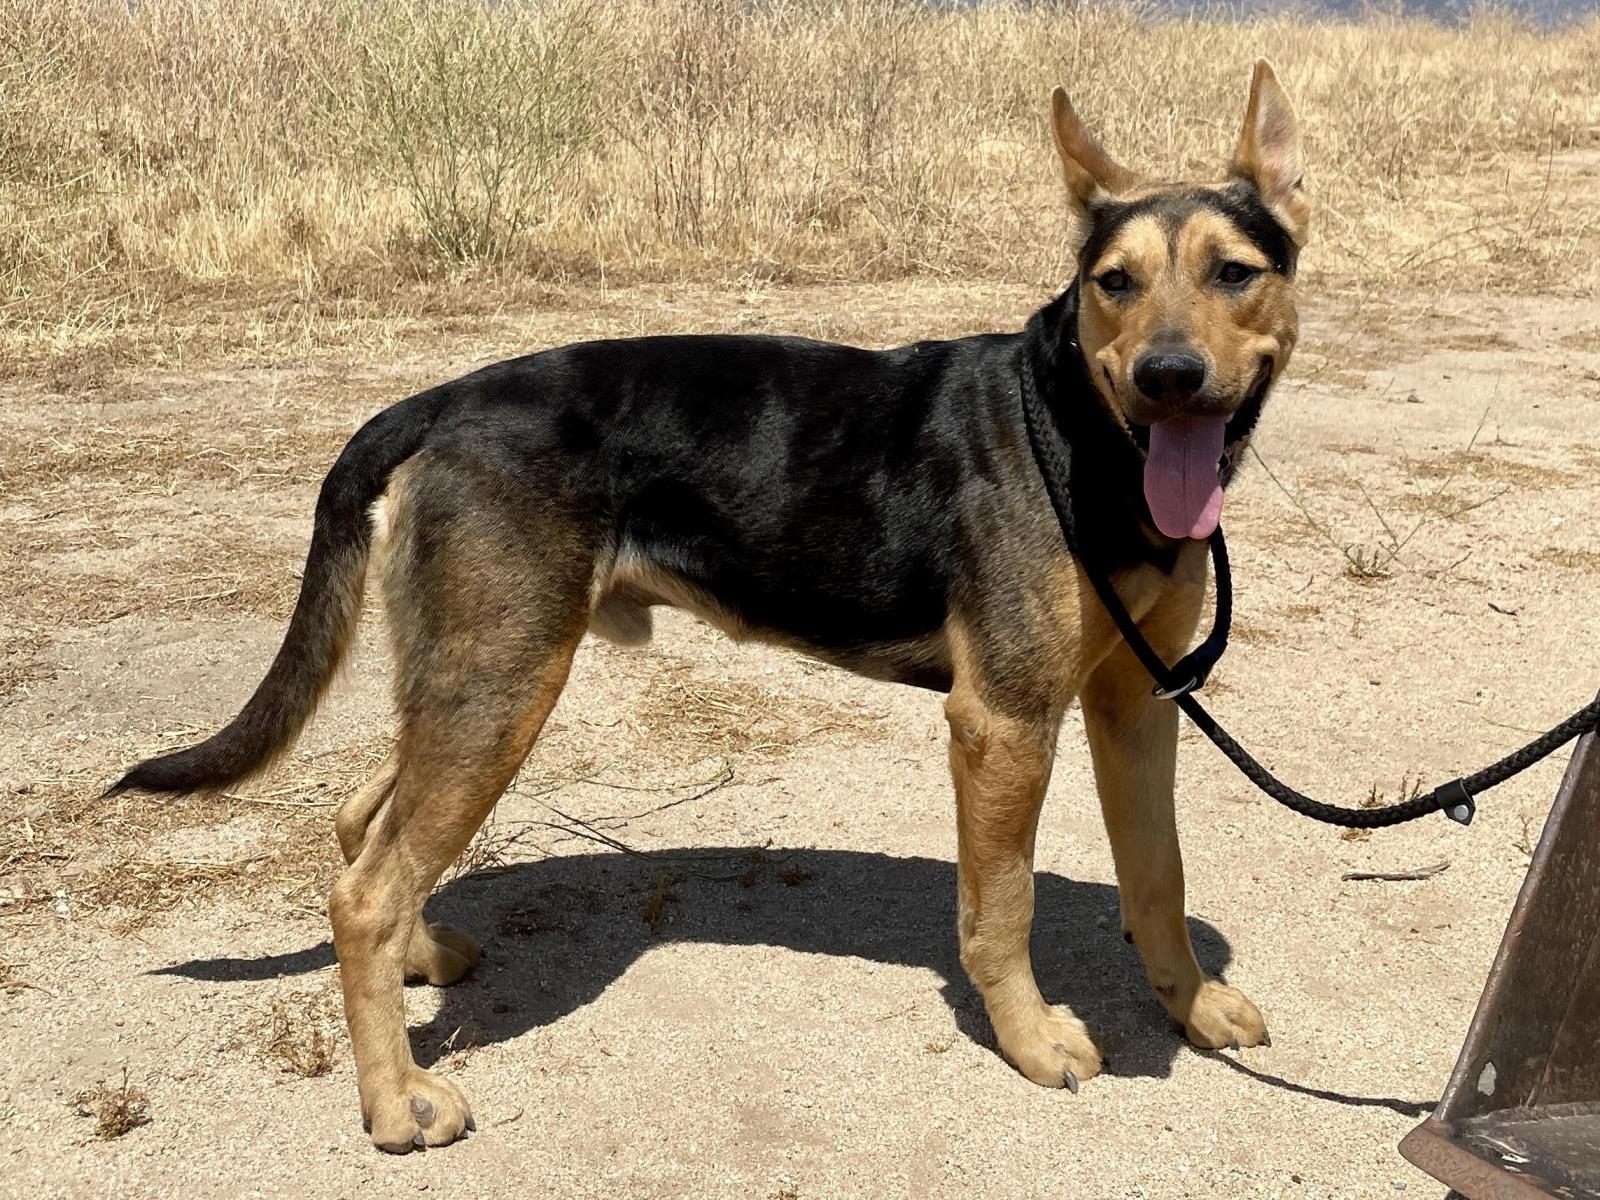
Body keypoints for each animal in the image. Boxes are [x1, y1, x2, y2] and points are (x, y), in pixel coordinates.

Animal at [116, 61, 1312, 1152]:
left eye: (1234, 272)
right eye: (1113, 282)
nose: (1167, 377)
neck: (1080, 433)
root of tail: (440, 399)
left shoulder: (1138, 706)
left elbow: (1158, 877)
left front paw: (1192, 1008)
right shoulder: (1003, 723)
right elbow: (1001, 906)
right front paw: (1028, 1040)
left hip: (474, 677)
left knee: (365, 825)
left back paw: (422, 954)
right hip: (505, 682)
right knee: (363, 889)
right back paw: (397, 1100)